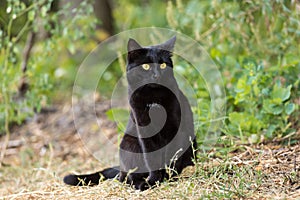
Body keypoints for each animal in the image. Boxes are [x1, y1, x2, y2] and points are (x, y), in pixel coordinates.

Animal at [63, 36, 197, 191]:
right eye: (146, 66)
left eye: (163, 65)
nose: (156, 75)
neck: (153, 99)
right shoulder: (145, 130)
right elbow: (151, 158)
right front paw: (154, 181)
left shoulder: (175, 127)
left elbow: (174, 154)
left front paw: (170, 176)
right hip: (129, 143)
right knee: (126, 177)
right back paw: (138, 183)